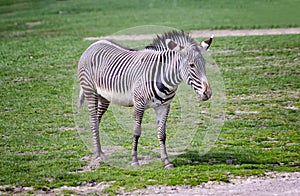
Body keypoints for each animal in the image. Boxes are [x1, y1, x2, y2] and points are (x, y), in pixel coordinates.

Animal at [78, 30, 212, 168]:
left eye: (204, 65)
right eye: (192, 65)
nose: (207, 93)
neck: (162, 78)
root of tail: (94, 44)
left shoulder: (164, 106)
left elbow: (162, 134)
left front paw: (166, 161)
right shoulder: (139, 104)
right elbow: (136, 132)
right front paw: (134, 160)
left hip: (104, 97)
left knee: (97, 120)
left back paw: (99, 151)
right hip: (90, 92)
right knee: (93, 121)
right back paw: (98, 155)